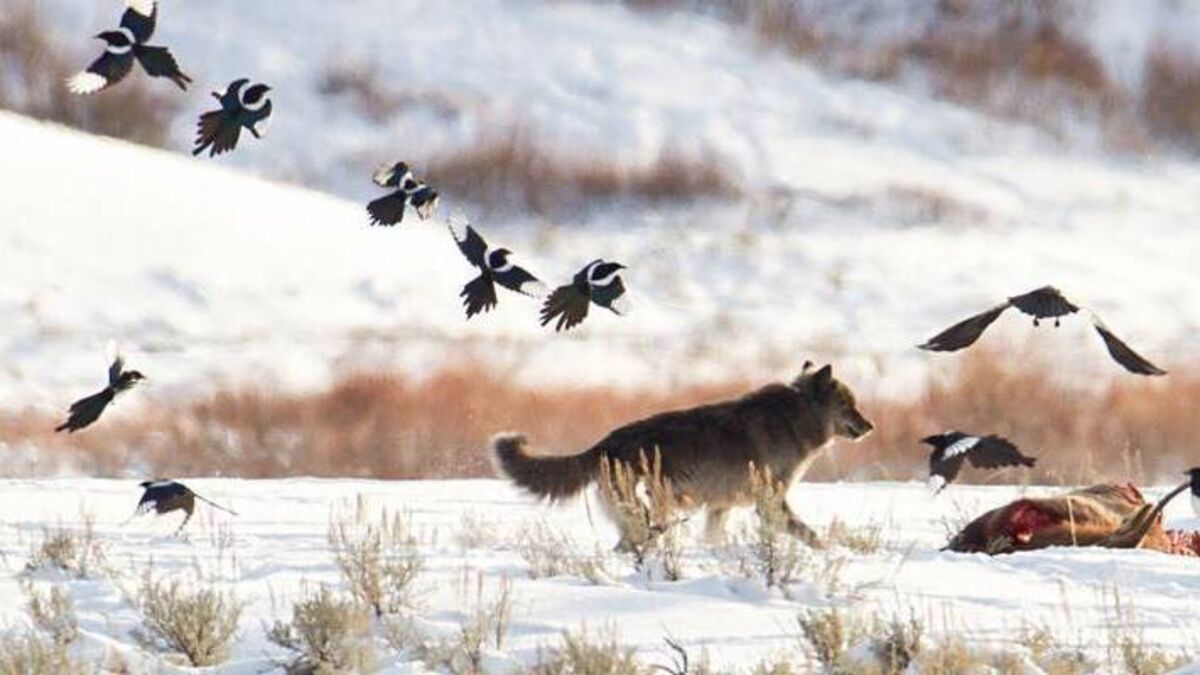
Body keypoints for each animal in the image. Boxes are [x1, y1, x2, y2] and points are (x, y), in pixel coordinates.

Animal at [491, 362, 874, 547]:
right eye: (850, 405)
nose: (871, 426)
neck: (797, 416)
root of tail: (603, 444)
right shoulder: (769, 505)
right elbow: (812, 538)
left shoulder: (720, 508)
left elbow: (714, 541)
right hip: (648, 518)